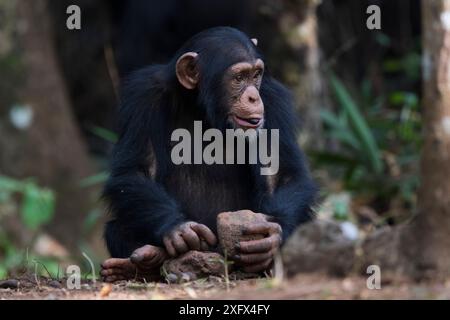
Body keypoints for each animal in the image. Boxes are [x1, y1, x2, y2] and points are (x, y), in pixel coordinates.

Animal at [100, 27, 318, 282]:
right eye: (238, 78)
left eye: (256, 75)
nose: (253, 96)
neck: (200, 108)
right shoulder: (143, 96)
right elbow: (136, 170)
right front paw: (178, 228)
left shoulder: (274, 101)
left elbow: (281, 174)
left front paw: (272, 235)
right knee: (117, 228)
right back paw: (144, 261)